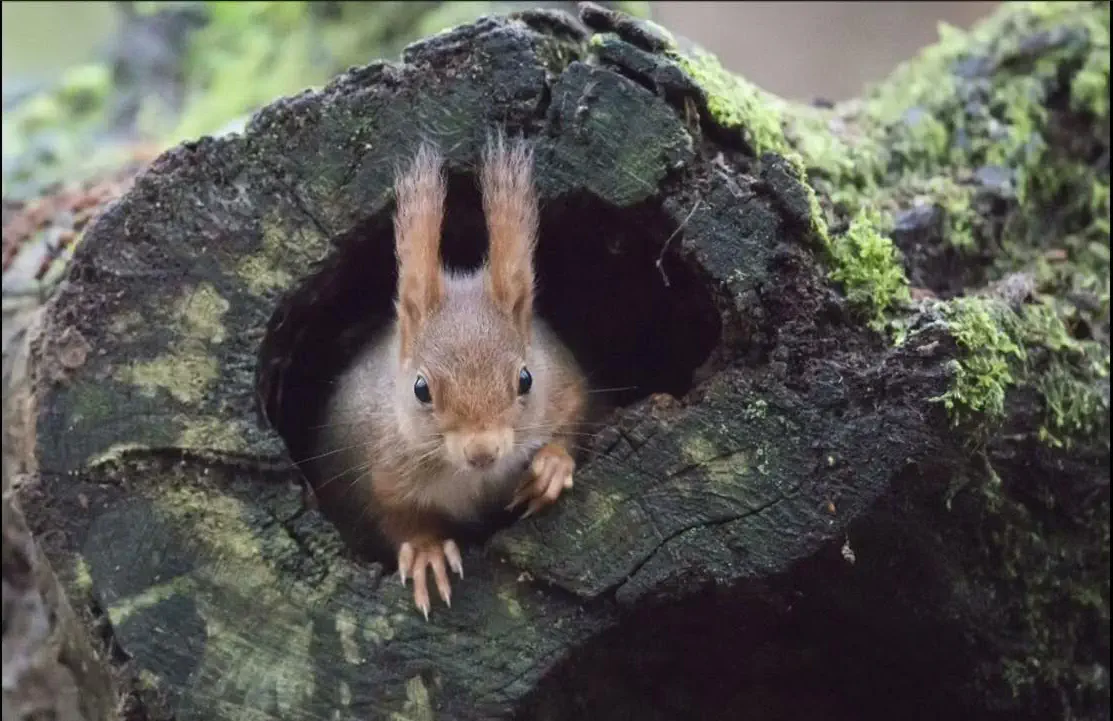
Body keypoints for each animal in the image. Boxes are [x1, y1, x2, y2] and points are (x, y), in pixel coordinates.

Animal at [313, 135, 592, 618]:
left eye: (526, 379)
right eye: (420, 389)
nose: (483, 452)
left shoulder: (566, 386)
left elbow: (573, 423)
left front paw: (552, 465)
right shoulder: (377, 469)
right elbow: (397, 519)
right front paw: (428, 554)